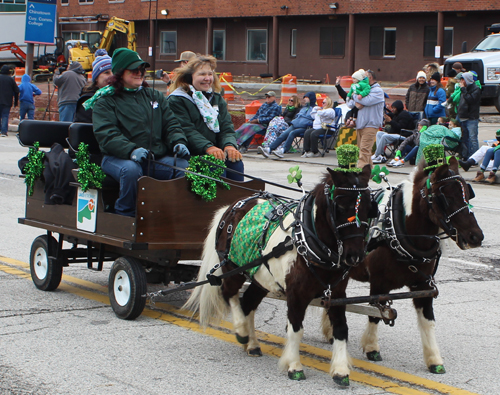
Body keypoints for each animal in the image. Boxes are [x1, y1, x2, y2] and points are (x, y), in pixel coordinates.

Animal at [186, 166, 374, 386]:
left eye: (370, 206)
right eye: (341, 206)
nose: (355, 256)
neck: (306, 241)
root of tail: (232, 207)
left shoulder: (336, 293)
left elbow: (341, 329)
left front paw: (341, 369)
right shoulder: (296, 294)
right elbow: (296, 329)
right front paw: (294, 365)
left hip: (260, 280)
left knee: (247, 303)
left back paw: (252, 344)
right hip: (234, 268)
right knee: (229, 293)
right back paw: (241, 331)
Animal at [322, 157, 482, 374]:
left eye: (468, 192)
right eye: (446, 197)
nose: (476, 237)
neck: (397, 231)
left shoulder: (423, 285)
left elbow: (428, 320)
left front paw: (434, 359)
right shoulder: (379, 283)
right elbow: (375, 314)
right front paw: (372, 347)